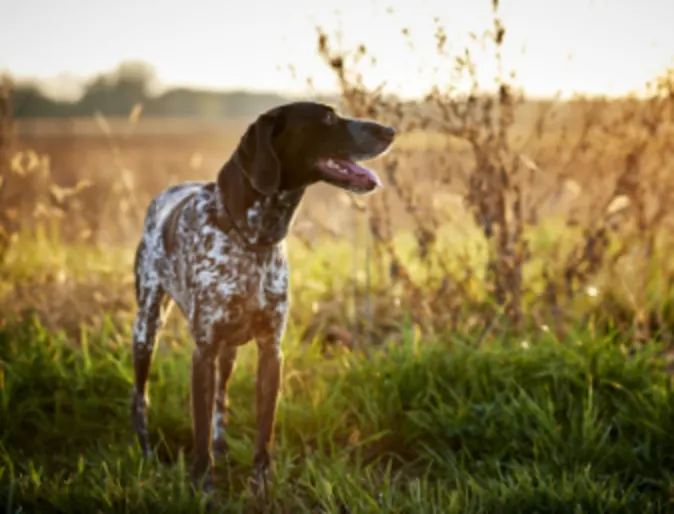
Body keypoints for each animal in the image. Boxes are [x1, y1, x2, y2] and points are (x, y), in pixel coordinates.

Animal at [129, 100, 396, 492]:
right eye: (328, 117)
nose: (389, 130)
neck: (252, 238)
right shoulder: (203, 352)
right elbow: (199, 432)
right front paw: (202, 487)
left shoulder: (271, 350)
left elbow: (263, 434)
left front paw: (261, 488)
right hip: (147, 327)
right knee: (140, 396)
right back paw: (145, 451)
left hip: (228, 352)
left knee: (221, 402)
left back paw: (222, 449)